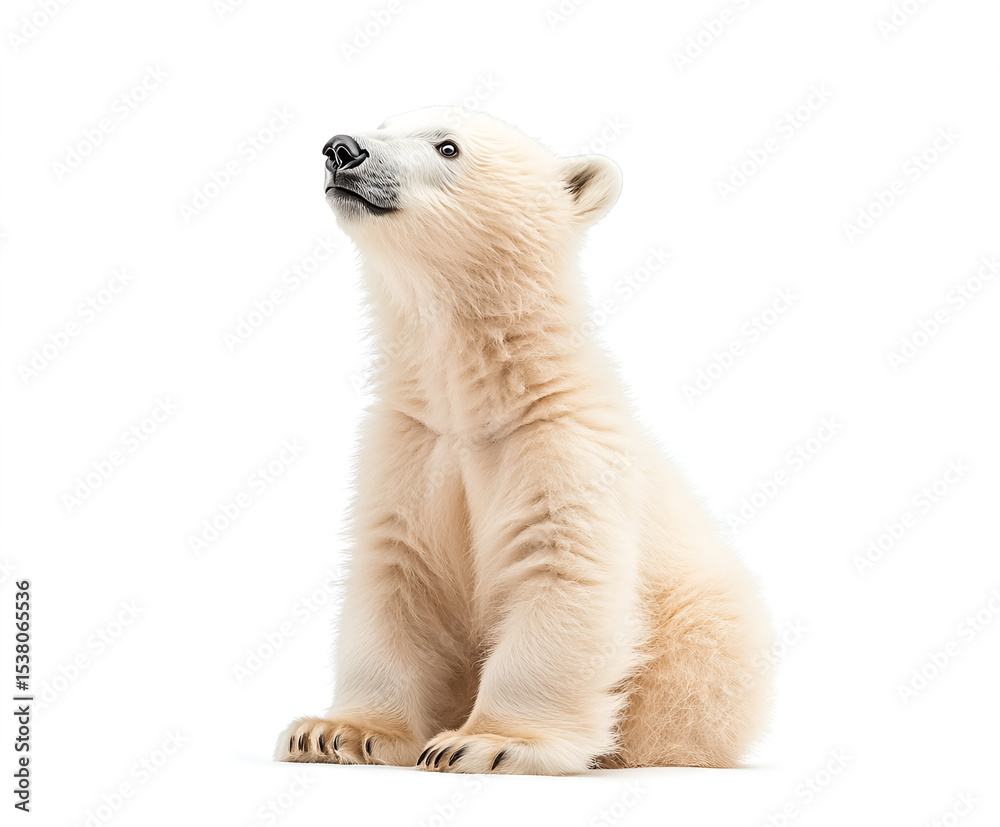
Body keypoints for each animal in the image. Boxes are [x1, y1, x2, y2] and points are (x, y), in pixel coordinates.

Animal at [275, 106, 773, 775]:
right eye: (382, 123)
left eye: (448, 146)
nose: (342, 149)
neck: (478, 396)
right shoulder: (411, 443)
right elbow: (396, 574)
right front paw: (334, 732)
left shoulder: (559, 443)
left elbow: (562, 569)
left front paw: (486, 743)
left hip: (703, 631)